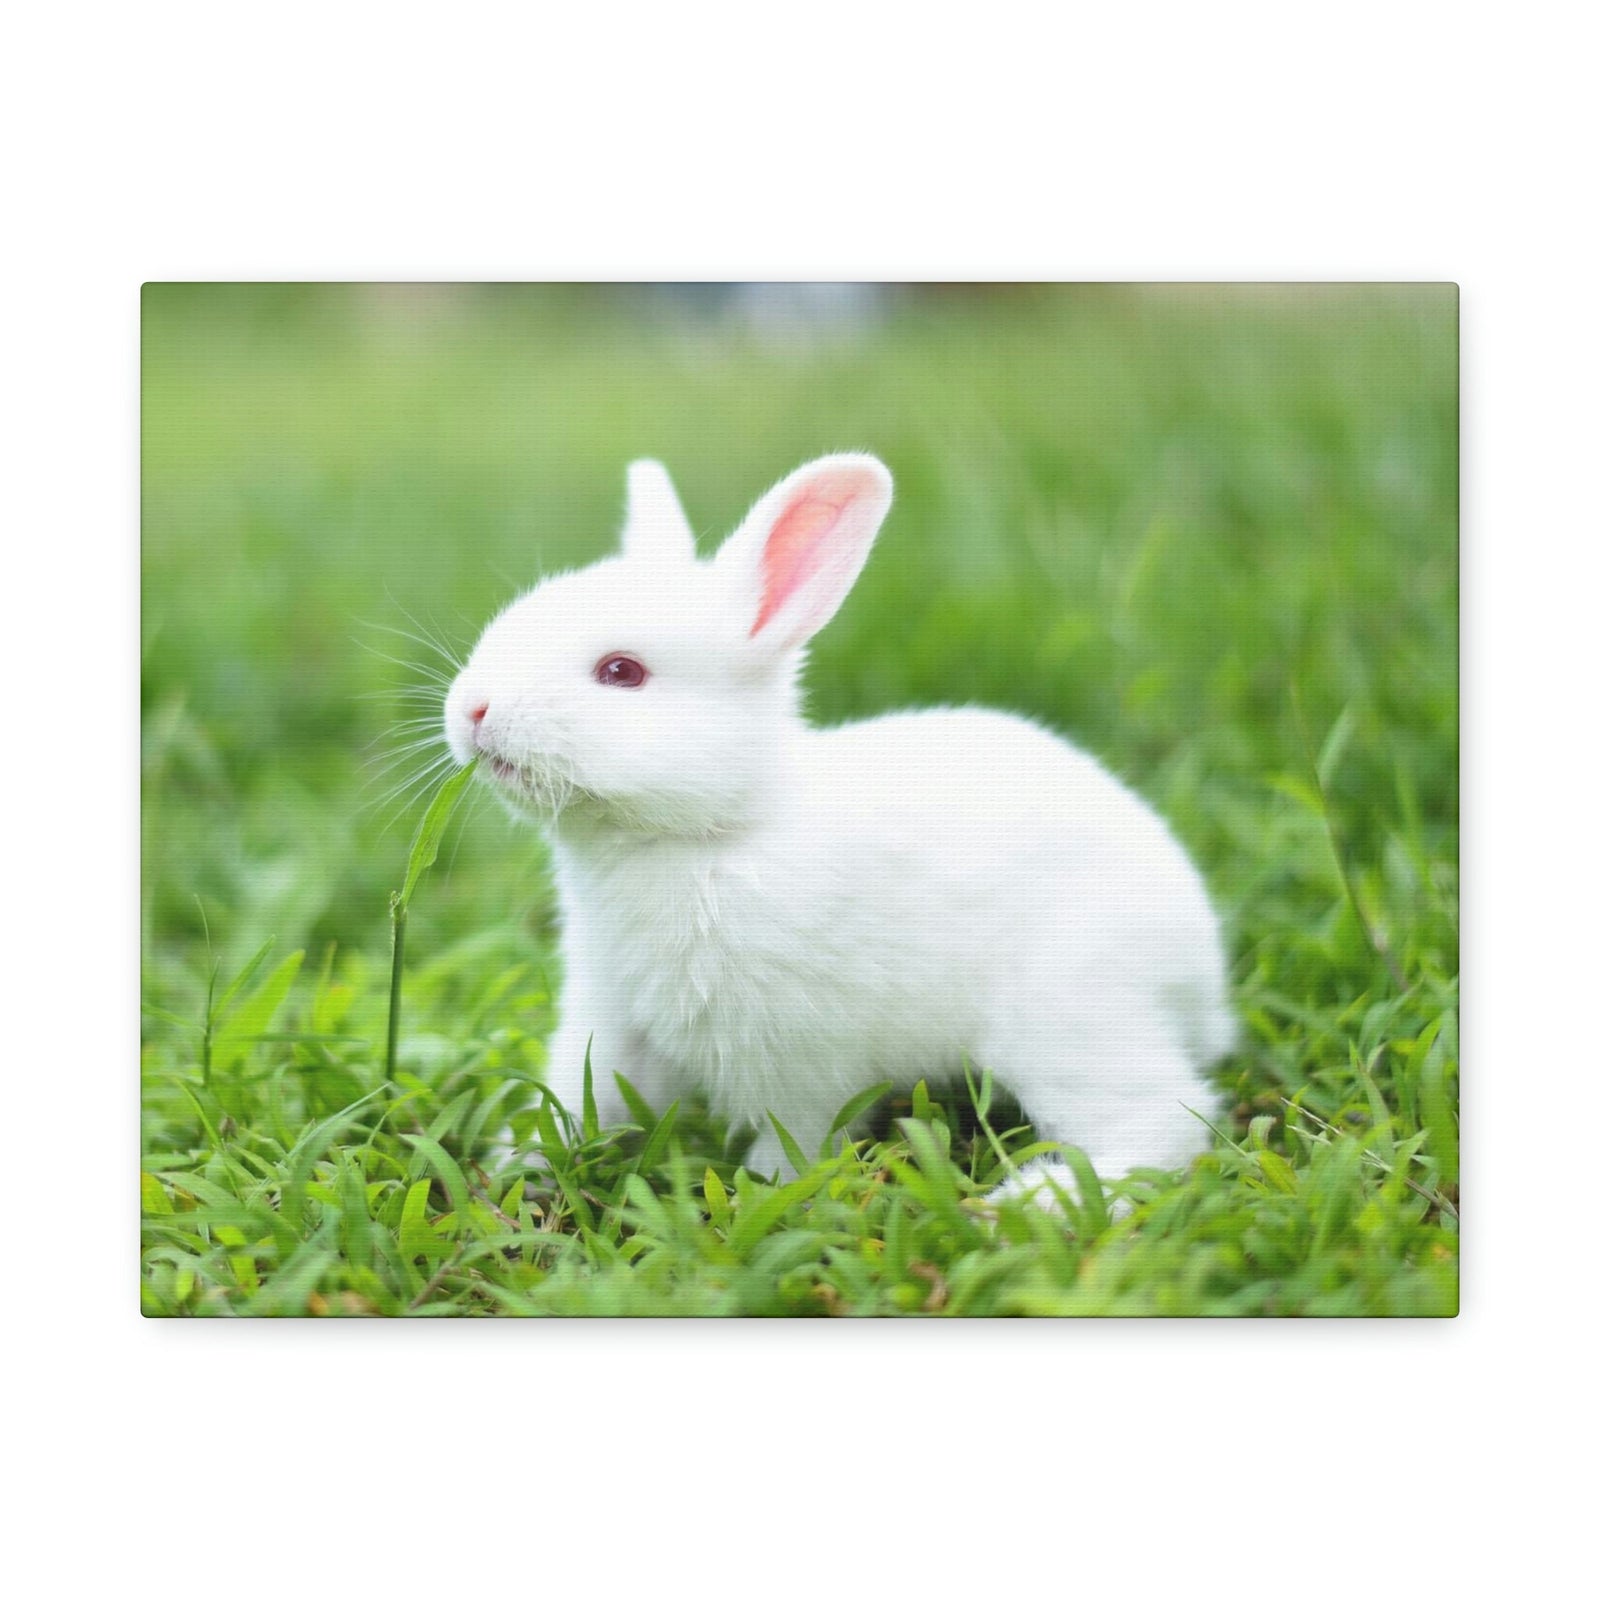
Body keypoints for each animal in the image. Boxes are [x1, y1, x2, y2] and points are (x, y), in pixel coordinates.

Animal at [443, 453, 1234, 1206]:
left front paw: (762, 1194)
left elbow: (795, 1140)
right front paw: (514, 1169)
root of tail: (1202, 970)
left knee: (1163, 1123)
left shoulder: (798, 1061)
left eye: (621, 672)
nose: (473, 710)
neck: (709, 835)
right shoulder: (612, 1023)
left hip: (1066, 1017)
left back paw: (1028, 1205)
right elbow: (579, 1104)